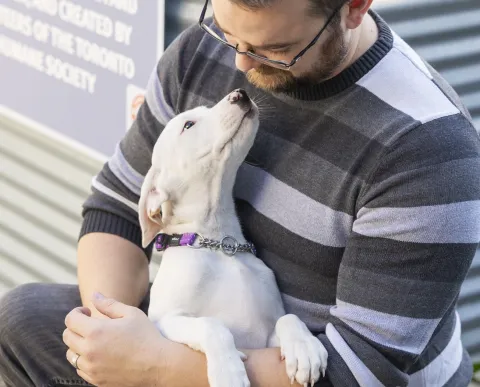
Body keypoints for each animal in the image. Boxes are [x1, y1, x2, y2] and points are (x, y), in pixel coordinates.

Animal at [137, 89, 328, 387]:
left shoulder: (267, 336)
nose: (241, 94)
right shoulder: (164, 320)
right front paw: (228, 371)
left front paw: (304, 348)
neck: (217, 243)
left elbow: (288, 318)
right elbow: (211, 324)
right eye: (188, 125)